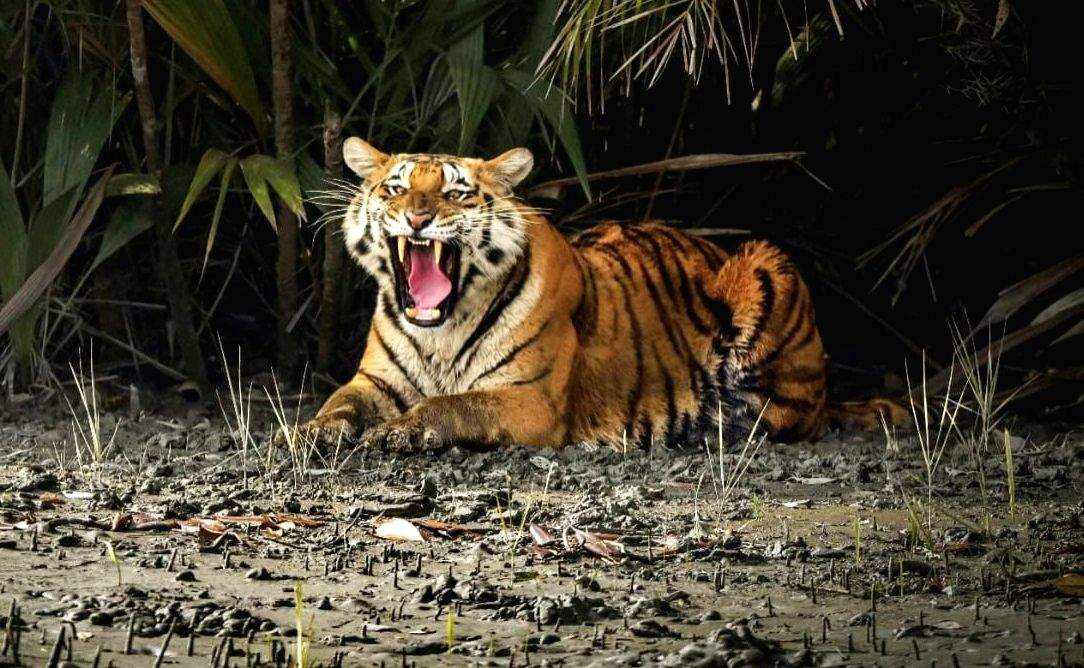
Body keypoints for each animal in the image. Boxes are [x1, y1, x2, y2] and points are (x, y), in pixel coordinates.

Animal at [300, 138, 905, 451]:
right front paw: (310, 432)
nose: (418, 217)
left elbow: (454, 404)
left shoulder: (529, 399)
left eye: (455, 193)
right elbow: (339, 402)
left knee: (784, 417)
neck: (440, 332)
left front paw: (399, 431)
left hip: (768, 265)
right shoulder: (373, 381)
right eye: (395, 188)